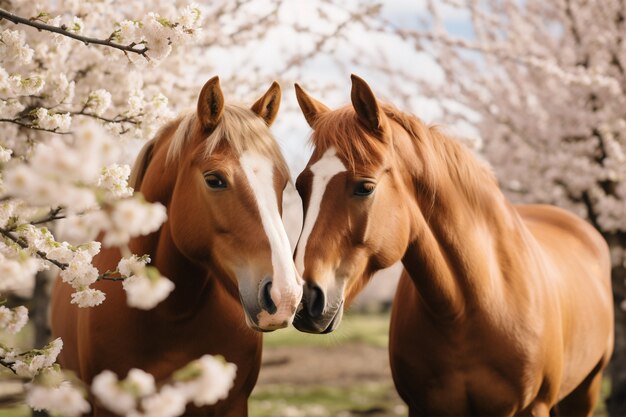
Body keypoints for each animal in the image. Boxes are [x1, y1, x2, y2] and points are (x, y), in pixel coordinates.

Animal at [290, 75, 612, 416]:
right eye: (301, 186)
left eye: (365, 187)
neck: (467, 309)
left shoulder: (534, 406)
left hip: (586, 389)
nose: (303, 299)